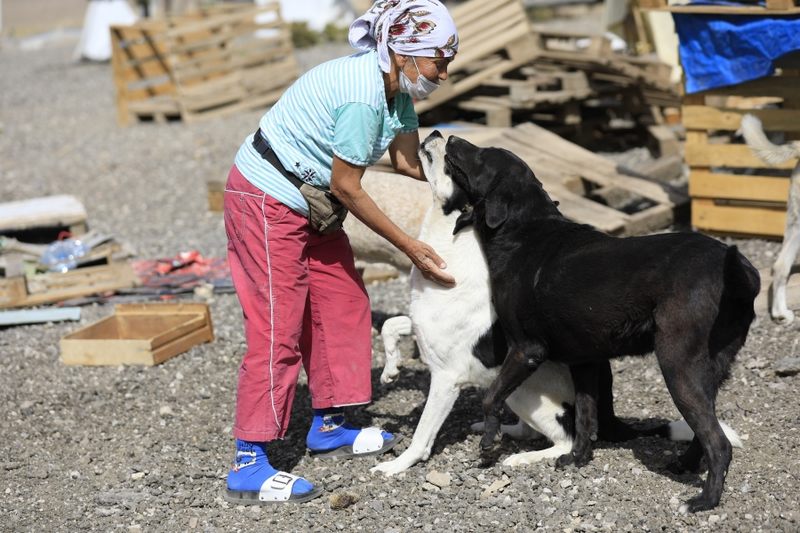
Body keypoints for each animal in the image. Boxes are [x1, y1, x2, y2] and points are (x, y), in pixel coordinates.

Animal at [446, 136, 760, 512]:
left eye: (482, 155)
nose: (448, 136)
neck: (523, 232)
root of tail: (740, 272)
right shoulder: (586, 361)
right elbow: (585, 414)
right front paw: (577, 458)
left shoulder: (526, 350)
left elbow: (491, 396)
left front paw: (488, 442)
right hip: (709, 368)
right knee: (706, 429)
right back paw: (683, 465)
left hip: (677, 364)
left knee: (718, 442)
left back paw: (704, 501)